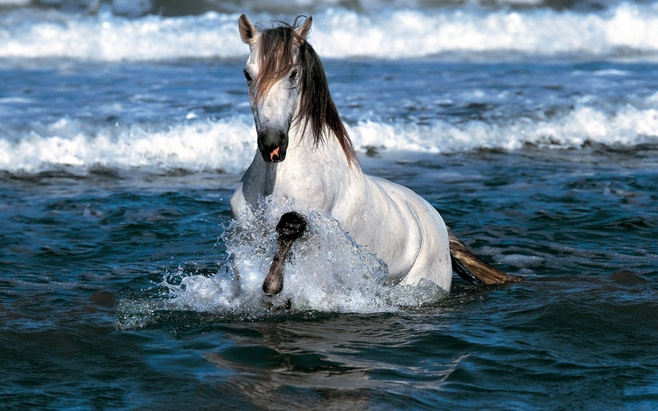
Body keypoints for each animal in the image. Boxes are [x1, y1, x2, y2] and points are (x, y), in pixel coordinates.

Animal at [230, 14, 522, 298]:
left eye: (293, 74)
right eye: (247, 74)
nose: (272, 144)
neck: (276, 179)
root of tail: (438, 223)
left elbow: (290, 225)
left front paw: (273, 285)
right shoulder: (246, 232)